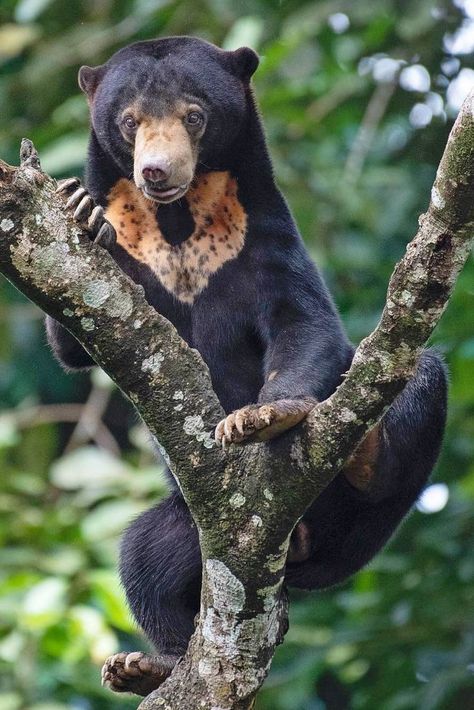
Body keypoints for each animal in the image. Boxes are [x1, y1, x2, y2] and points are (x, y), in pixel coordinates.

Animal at [45, 34, 448, 696]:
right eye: (130, 122)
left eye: (194, 115)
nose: (156, 172)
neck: (179, 219)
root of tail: (303, 552)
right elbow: (73, 341)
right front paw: (80, 207)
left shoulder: (260, 228)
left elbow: (304, 323)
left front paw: (259, 417)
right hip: (193, 529)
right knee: (144, 555)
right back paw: (146, 665)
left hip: (357, 525)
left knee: (425, 375)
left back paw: (369, 456)